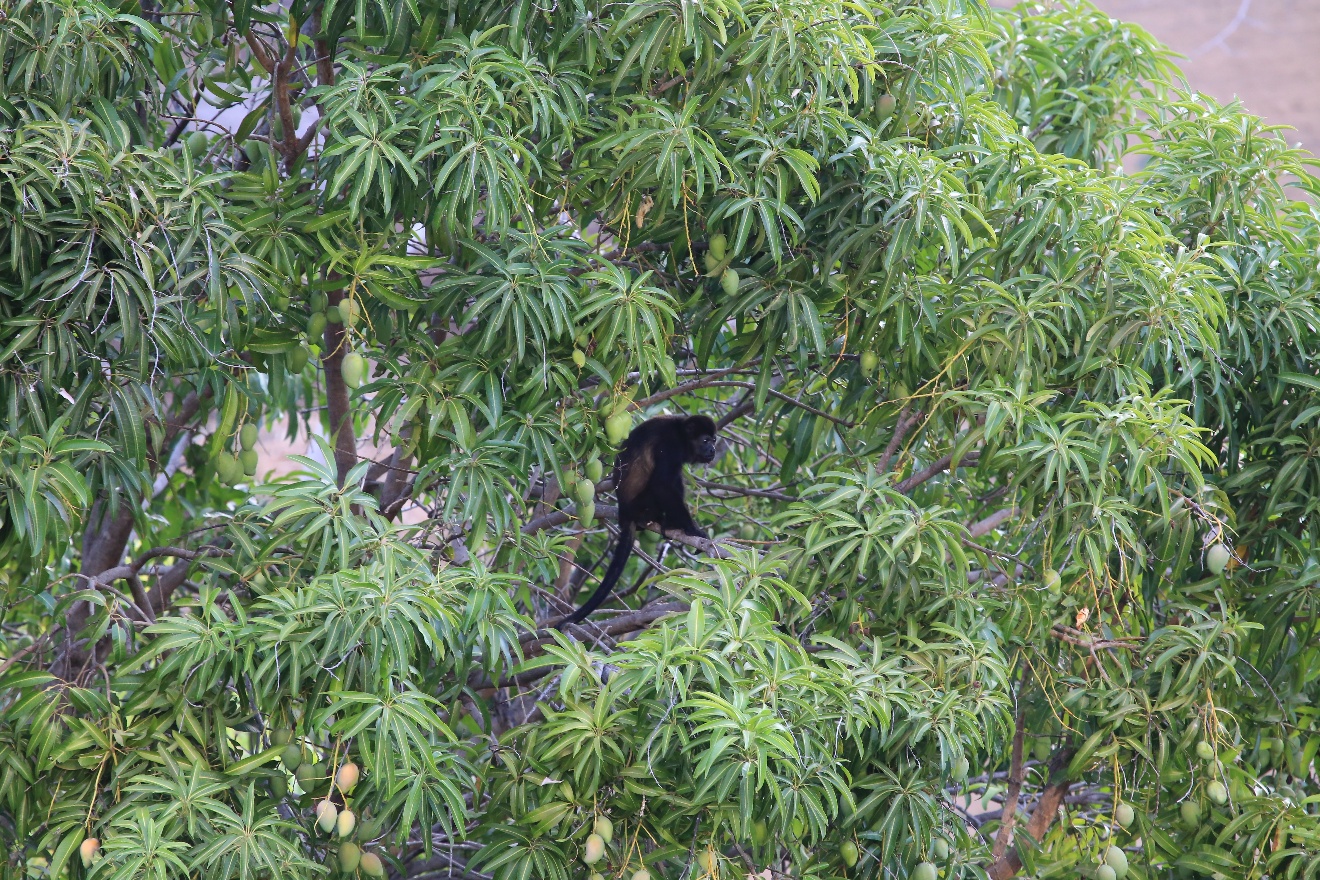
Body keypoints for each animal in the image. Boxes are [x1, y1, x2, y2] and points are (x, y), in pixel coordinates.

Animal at [558, 415, 718, 627]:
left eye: (714, 440)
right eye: (706, 440)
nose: (713, 449)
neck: (682, 434)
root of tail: (625, 513)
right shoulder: (670, 445)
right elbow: (662, 484)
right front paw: (693, 530)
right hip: (642, 504)